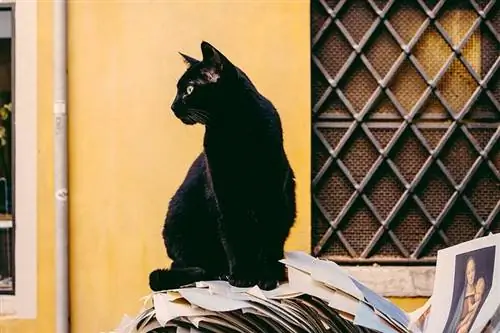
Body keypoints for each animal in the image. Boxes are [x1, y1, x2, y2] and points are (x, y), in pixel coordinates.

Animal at [149, 40, 296, 290]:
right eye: (178, 90)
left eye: (189, 90)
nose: (173, 106)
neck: (235, 130)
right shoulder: (225, 194)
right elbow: (233, 236)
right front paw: (241, 276)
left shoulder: (272, 192)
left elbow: (267, 240)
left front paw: (266, 277)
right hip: (179, 218)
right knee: (186, 263)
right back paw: (219, 273)